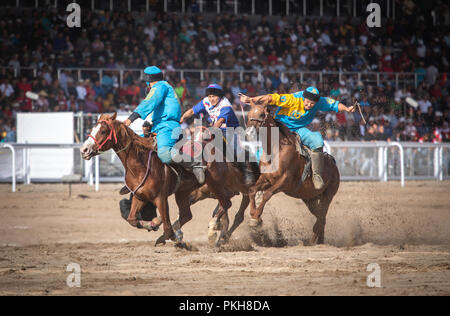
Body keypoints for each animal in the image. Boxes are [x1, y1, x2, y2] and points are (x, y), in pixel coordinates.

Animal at [244, 102, 340, 243]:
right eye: (249, 114)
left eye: (261, 114)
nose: (248, 133)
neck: (276, 150)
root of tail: (333, 163)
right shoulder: (266, 179)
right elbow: (252, 190)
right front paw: (254, 216)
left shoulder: (284, 181)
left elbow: (267, 194)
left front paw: (256, 218)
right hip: (309, 198)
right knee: (320, 216)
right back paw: (318, 240)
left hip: (328, 195)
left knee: (322, 216)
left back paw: (314, 239)